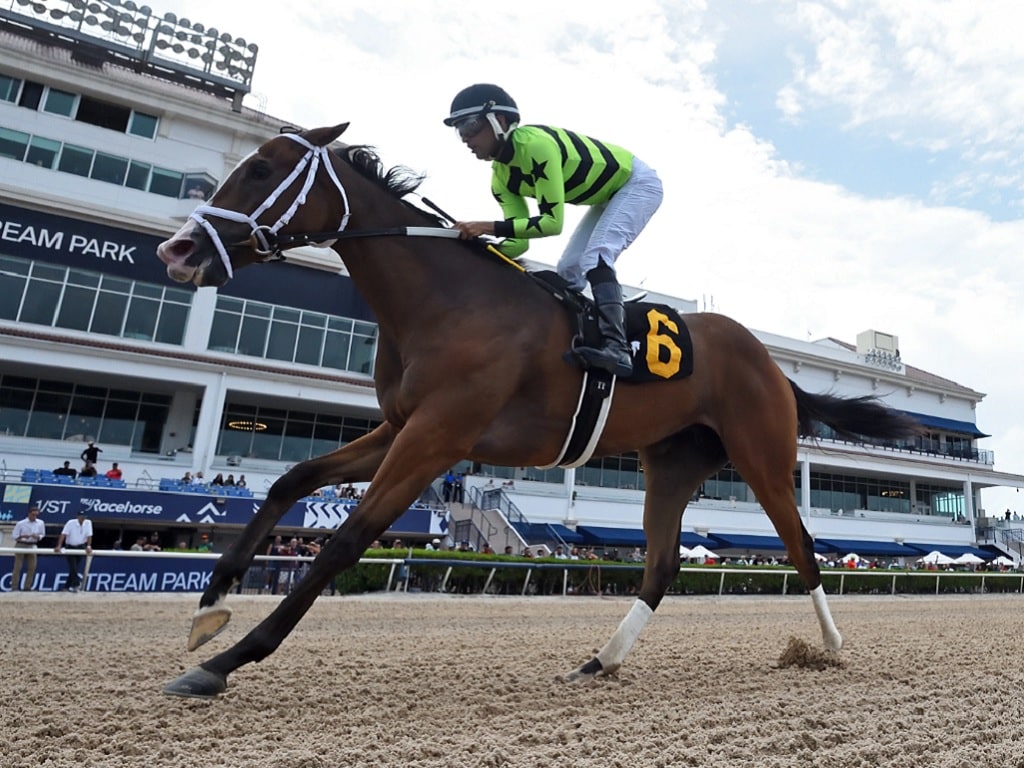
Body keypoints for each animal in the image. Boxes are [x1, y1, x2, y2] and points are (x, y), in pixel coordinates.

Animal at [157, 124, 921, 696]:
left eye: (260, 170)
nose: (178, 249)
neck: (446, 300)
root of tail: (773, 363)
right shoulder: (403, 426)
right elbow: (292, 480)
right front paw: (211, 607)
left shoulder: (437, 436)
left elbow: (348, 539)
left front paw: (227, 660)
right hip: (671, 462)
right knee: (662, 563)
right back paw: (601, 660)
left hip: (762, 454)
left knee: (802, 545)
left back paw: (829, 645)